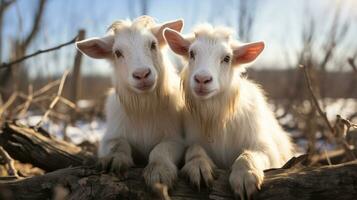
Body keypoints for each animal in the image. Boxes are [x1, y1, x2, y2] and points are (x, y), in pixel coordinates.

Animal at [76, 16, 185, 189]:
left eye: (153, 45)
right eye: (118, 53)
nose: (142, 74)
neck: (144, 108)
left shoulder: (176, 139)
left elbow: (161, 149)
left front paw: (159, 171)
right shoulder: (109, 138)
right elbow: (118, 144)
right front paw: (113, 159)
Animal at [164, 25, 292, 200]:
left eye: (226, 58)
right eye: (192, 53)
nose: (202, 79)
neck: (217, 118)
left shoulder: (268, 151)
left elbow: (249, 154)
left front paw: (245, 176)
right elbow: (193, 148)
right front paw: (198, 166)